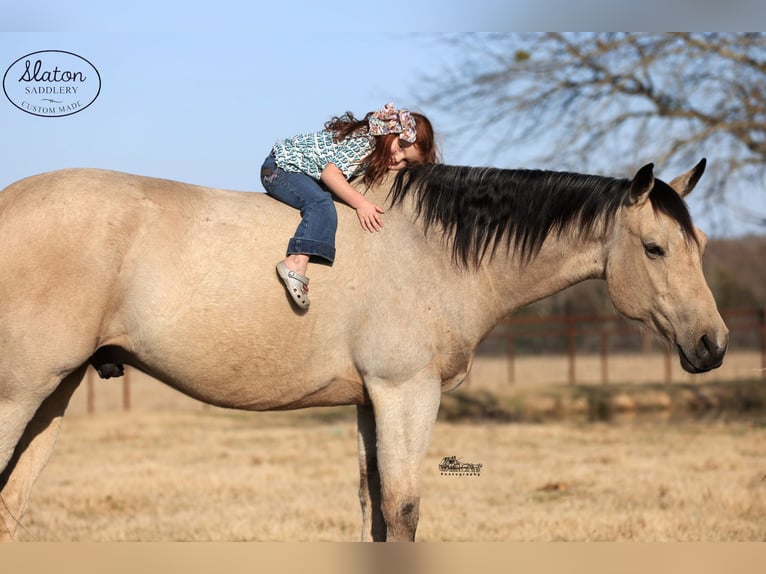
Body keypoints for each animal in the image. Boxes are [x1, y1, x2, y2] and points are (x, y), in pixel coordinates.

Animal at [0, 160, 728, 544]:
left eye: (700, 247)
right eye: (655, 249)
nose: (712, 345)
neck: (432, 250)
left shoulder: (368, 403)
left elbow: (372, 505)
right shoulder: (406, 393)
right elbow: (402, 508)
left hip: (56, 392)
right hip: (21, 392)